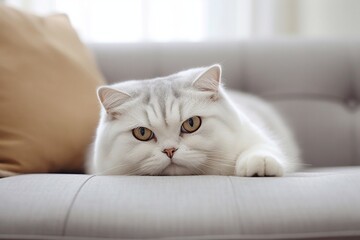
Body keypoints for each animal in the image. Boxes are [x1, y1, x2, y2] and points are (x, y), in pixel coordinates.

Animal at [86, 64, 298, 177]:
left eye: (191, 124)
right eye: (142, 133)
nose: (169, 150)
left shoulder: (256, 136)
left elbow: (261, 147)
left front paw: (260, 165)